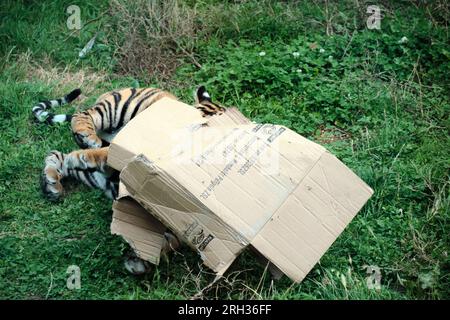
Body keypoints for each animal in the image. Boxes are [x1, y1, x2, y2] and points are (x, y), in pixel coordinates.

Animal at [32, 85, 225, 200]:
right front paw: (81, 156)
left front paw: (79, 157)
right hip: (116, 109)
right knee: (83, 114)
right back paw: (88, 138)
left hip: (95, 175)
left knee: (57, 155)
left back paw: (51, 183)